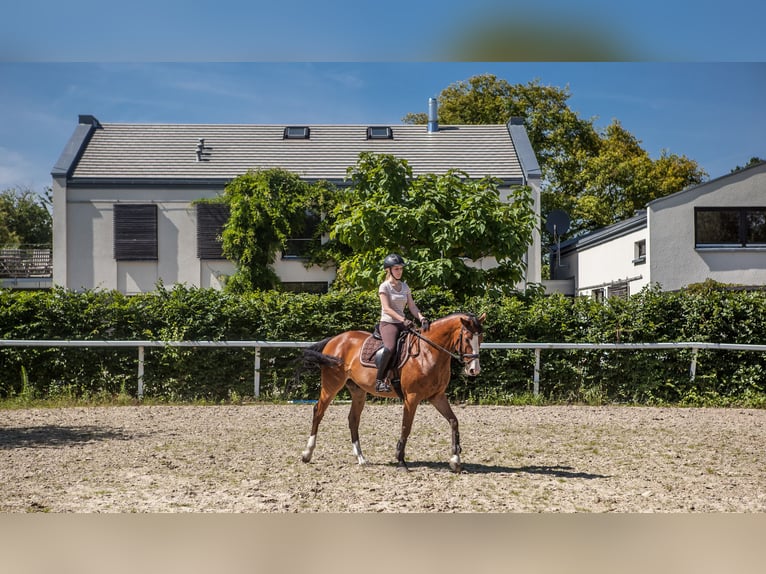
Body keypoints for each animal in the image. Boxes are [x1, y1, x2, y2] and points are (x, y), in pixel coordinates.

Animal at [299, 312, 485, 473]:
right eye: (467, 338)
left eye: (481, 339)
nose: (474, 370)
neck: (428, 352)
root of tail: (336, 339)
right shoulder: (412, 397)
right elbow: (406, 427)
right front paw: (401, 460)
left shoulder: (437, 396)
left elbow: (454, 421)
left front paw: (455, 460)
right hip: (331, 385)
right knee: (318, 412)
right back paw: (307, 454)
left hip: (358, 391)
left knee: (353, 419)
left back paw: (361, 458)